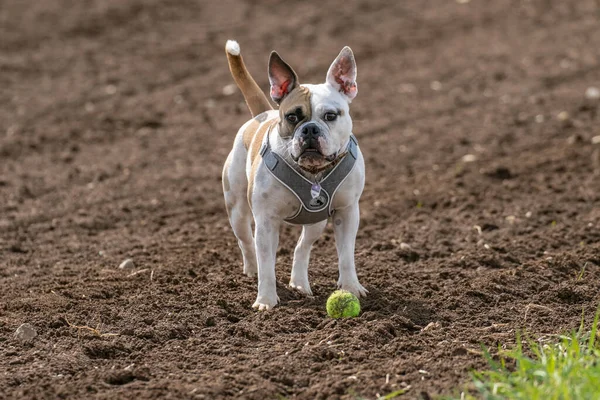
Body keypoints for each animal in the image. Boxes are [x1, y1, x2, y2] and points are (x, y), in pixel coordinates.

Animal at [223, 39, 368, 310]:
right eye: (292, 117)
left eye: (330, 116)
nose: (310, 129)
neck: (312, 172)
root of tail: (262, 114)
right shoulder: (266, 222)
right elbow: (267, 266)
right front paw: (266, 301)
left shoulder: (347, 213)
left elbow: (346, 256)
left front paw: (351, 288)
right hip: (236, 210)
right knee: (246, 243)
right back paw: (251, 270)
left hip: (316, 222)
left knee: (302, 248)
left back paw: (300, 283)